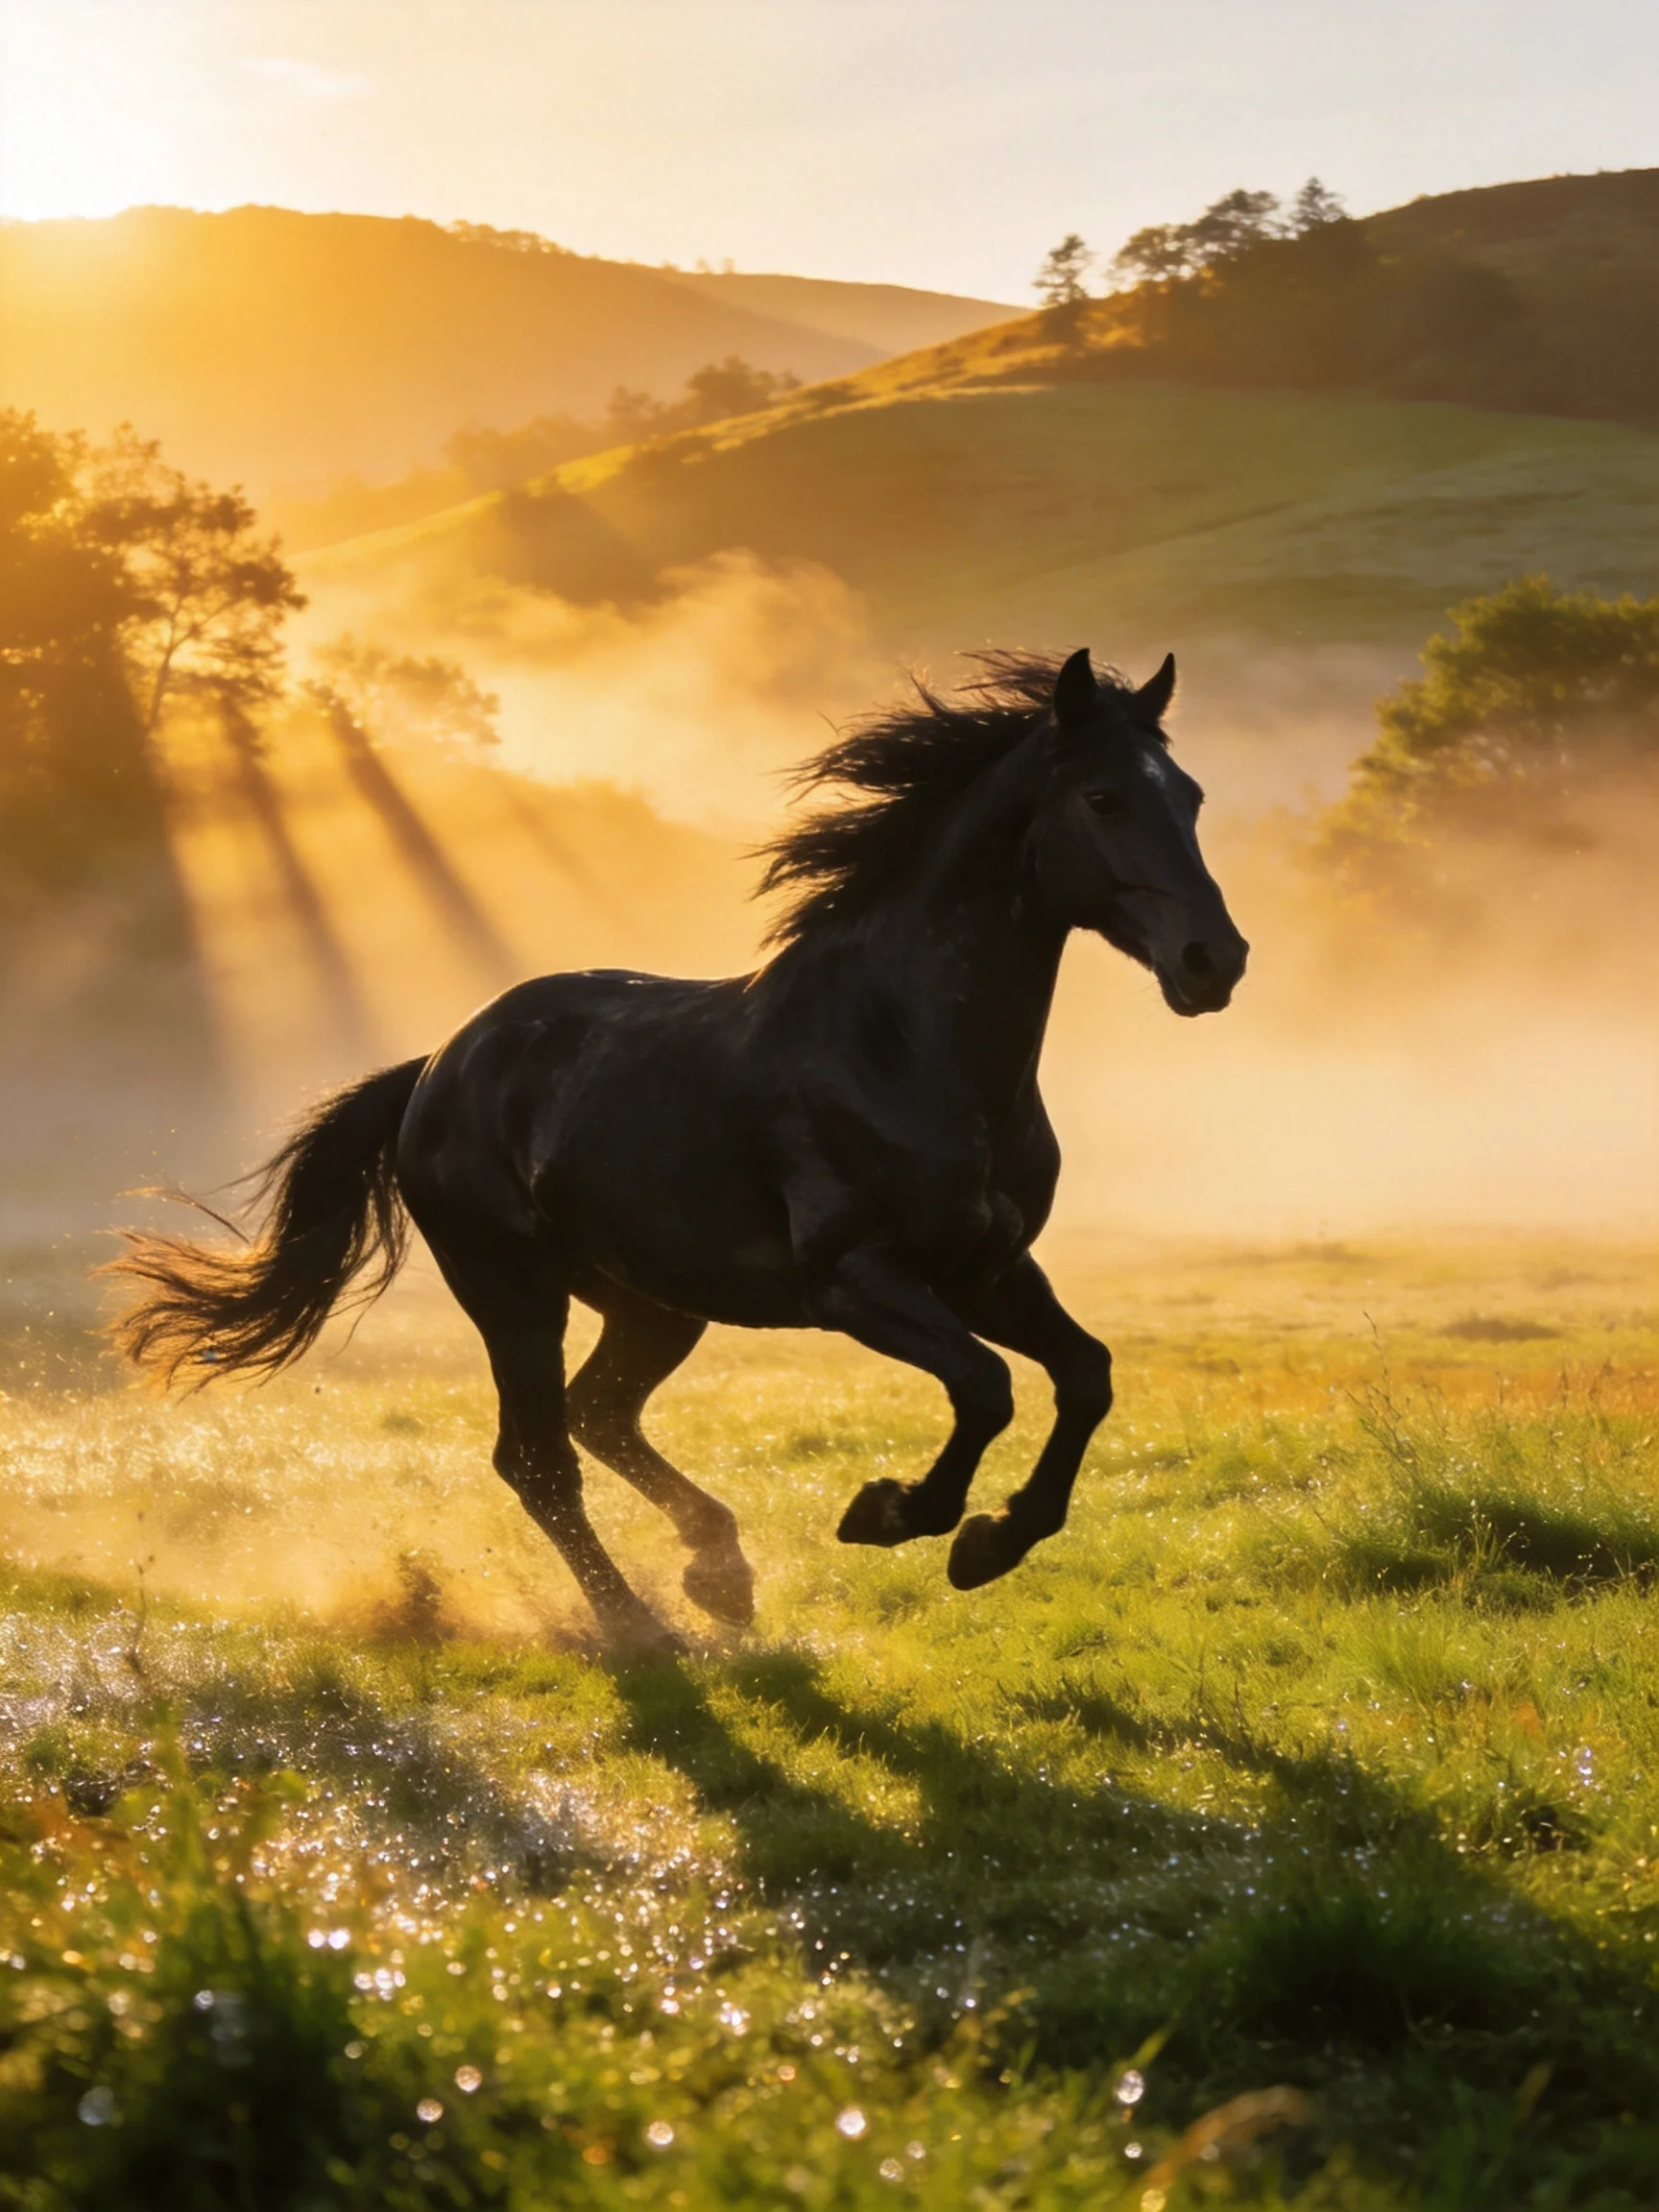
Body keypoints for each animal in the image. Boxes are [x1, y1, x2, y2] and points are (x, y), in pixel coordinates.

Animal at [111, 647, 1248, 1653]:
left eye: (1191, 796)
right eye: (1102, 799)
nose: (1215, 961)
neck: (906, 1043)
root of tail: (435, 1067)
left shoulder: (990, 1270)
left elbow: (1085, 1377)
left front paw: (991, 1542)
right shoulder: (856, 1282)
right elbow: (986, 1386)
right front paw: (894, 1514)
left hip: (654, 1302)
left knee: (598, 1416)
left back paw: (720, 1572)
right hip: (515, 1294)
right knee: (538, 1458)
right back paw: (639, 1624)